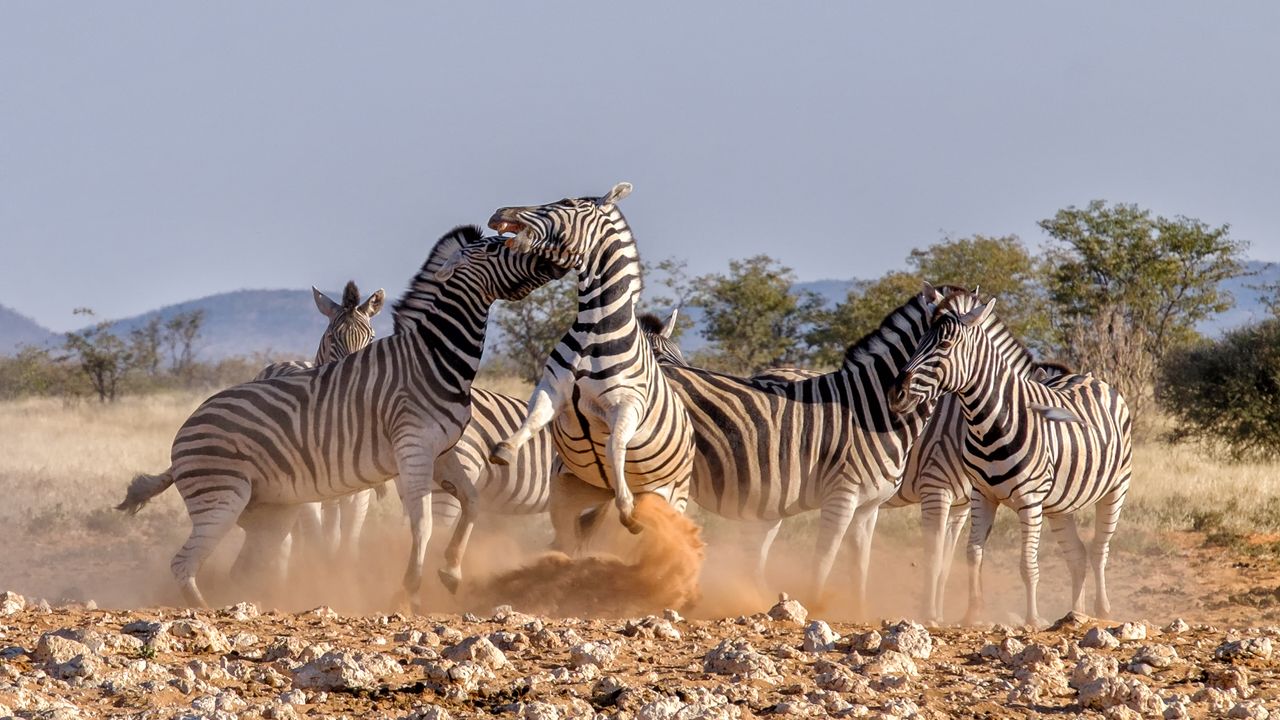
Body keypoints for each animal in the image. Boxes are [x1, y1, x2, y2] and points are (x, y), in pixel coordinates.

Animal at [117, 226, 568, 607]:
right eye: (496, 248)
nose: (556, 259)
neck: (432, 356)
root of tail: (183, 432)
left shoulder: (442, 450)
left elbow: (471, 503)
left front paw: (451, 571)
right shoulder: (413, 448)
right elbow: (422, 523)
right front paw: (410, 591)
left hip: (269, 513)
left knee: (245, 566)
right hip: (222, 498)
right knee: (184, 564)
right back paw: (210, 615)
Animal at [483, 181, 696, 540]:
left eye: (568, 203)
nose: (500, 211)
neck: (594, 327)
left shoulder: (628, 404)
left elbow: (614, 446)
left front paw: (627, 507)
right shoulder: (552, 387)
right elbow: (533, 418)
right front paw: (505, 450)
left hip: (672, 497)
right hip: (569, 493)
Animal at [890, 289, 1131, 622]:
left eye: (945, 345)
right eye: (918, 342)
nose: (896, 393)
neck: (989, 422)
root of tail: (1094, 379)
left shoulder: (1027, 500)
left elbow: (1027, 565)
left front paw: (1032, 619)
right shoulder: (979, 495)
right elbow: (972, 553)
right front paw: (971, 614)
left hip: (1115, 489)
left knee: (1098, 549)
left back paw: (1102, 611)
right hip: (1060, 505)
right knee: (1077, 555)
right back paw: (1075, 615)